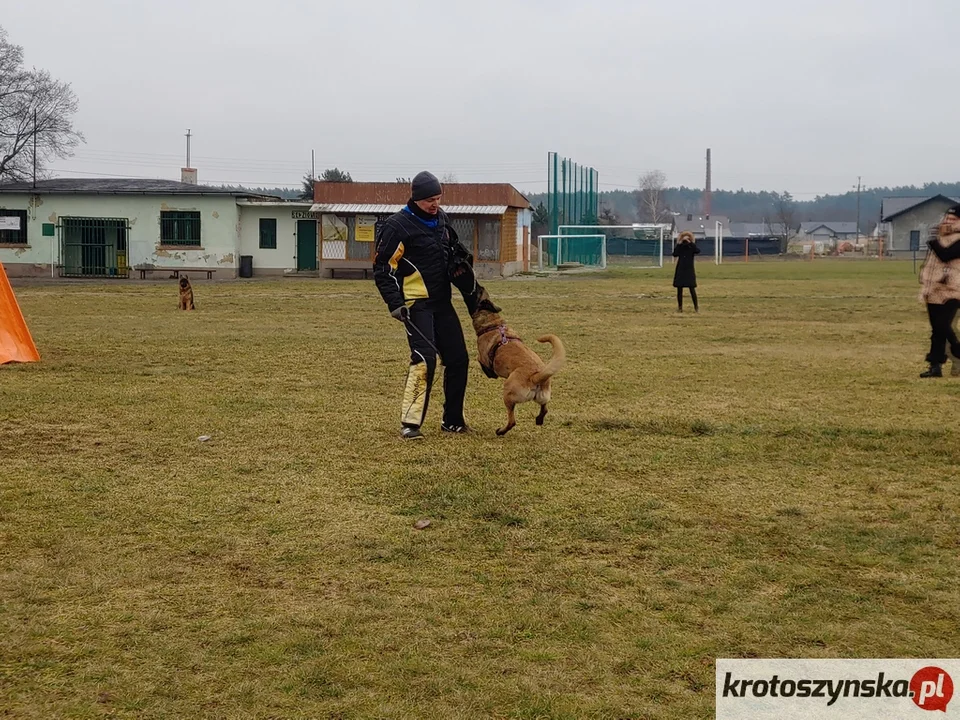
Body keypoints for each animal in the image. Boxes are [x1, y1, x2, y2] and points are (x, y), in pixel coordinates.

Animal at [470, 288, 564, 436]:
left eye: (478, 293)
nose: (477, 287)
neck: (493, 324)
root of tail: (535, 377)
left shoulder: (484, 358)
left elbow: (479, 360)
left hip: (508, 393)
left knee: (512, 421)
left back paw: (501, 431)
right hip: (543, 397)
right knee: (544, 409)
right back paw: (539, 420)